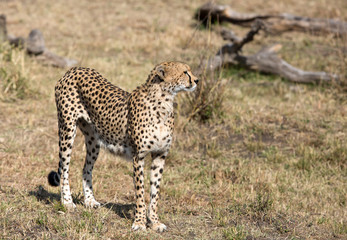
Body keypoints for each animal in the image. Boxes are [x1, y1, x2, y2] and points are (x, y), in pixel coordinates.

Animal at [47, 61, 198, 232]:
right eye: (185, 72)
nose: (196, 80)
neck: (164, 102)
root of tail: (75, 69)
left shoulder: (160, 155)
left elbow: (155, 193)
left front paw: (154, 222)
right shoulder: (138, 157)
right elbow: (140, 192)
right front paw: (139, 222)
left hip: (93, 140)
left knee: (86, 168)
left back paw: (90, 201)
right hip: (67, 130)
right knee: (64, 169)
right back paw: (67, 201)